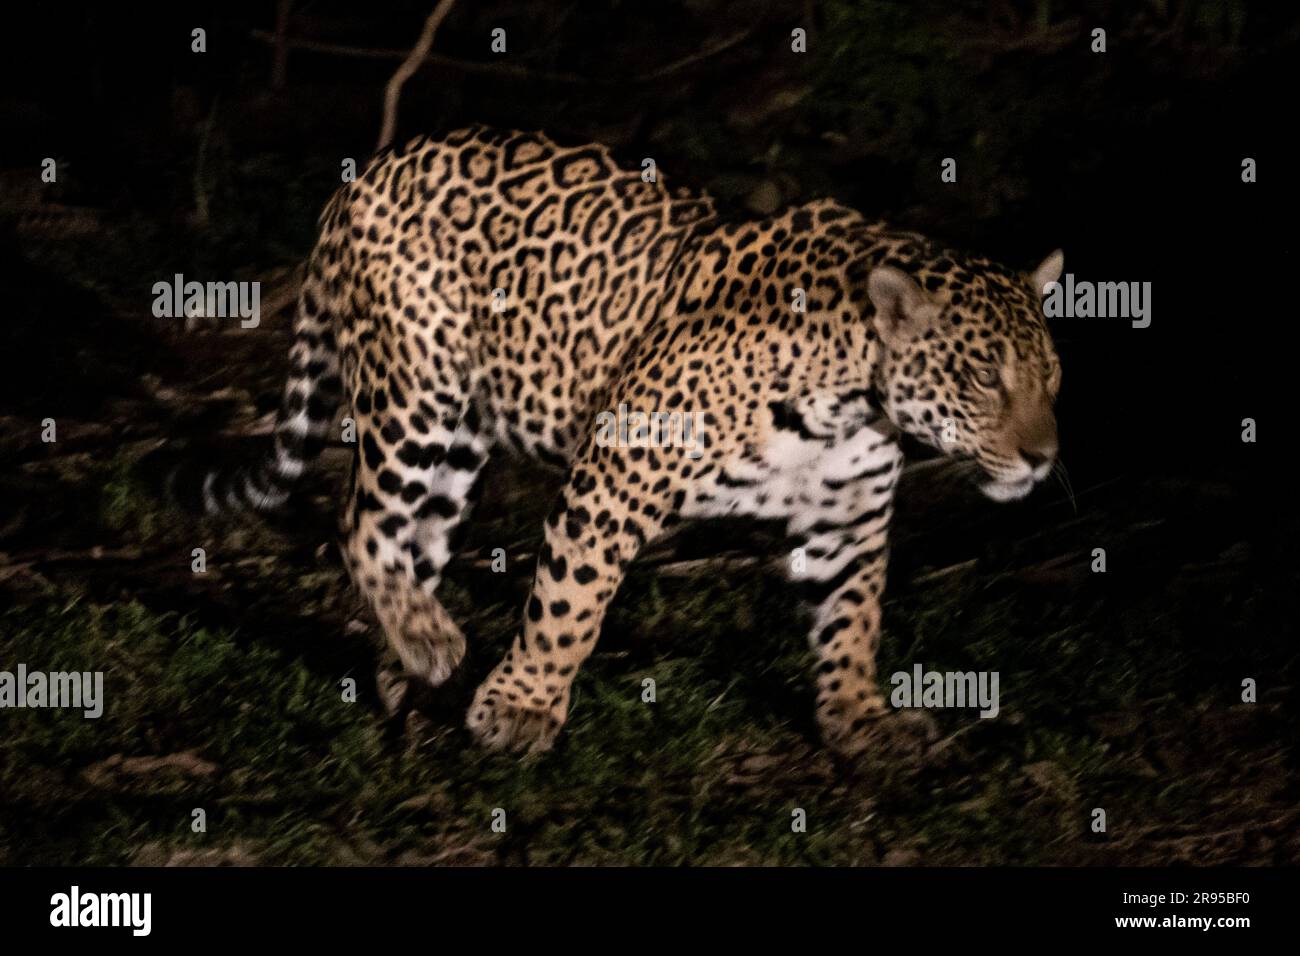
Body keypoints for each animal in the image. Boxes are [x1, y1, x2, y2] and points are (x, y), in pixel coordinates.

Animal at [187, 125, 1063, 758]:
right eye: (985, 376)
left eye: (1053, 376)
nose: (1042, 458)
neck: (854, 395)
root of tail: (364, 175)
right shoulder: (616, 475)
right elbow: (570, 604)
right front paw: (522, 708)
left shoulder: (847, 515)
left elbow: (852, 619)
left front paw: (859, 719)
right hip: (415, 391)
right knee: (359, 521)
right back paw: (432, 643)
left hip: (461, 440)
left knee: (413, 540)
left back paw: (408, 661)